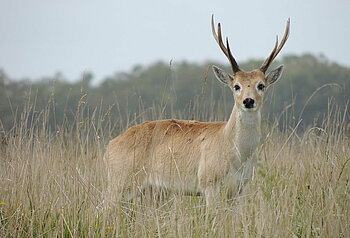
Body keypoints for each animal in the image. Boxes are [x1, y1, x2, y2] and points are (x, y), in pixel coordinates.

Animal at [104, 15, 290, 207]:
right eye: (236, 86)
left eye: (261, 85)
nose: (248, 101)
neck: (235, 151)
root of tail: (109, 146)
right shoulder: (209, 182)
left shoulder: (239, 188)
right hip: (119, 182)